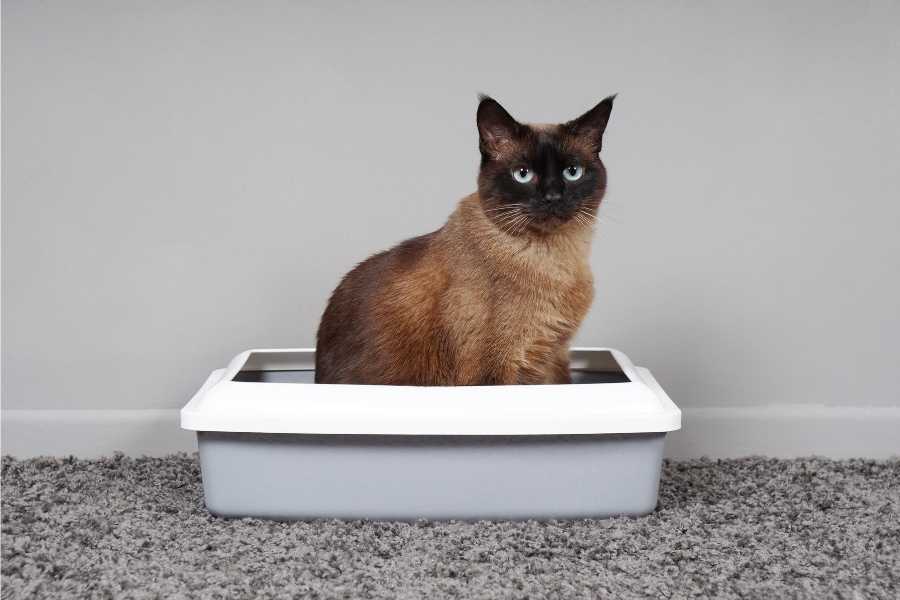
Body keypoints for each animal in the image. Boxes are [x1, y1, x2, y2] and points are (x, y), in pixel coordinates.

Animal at [312, 94, 616, 384]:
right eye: (523, 174)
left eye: (572, 172)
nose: (553, 197)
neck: (554, 260)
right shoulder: (496, 368)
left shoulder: (554, 358)